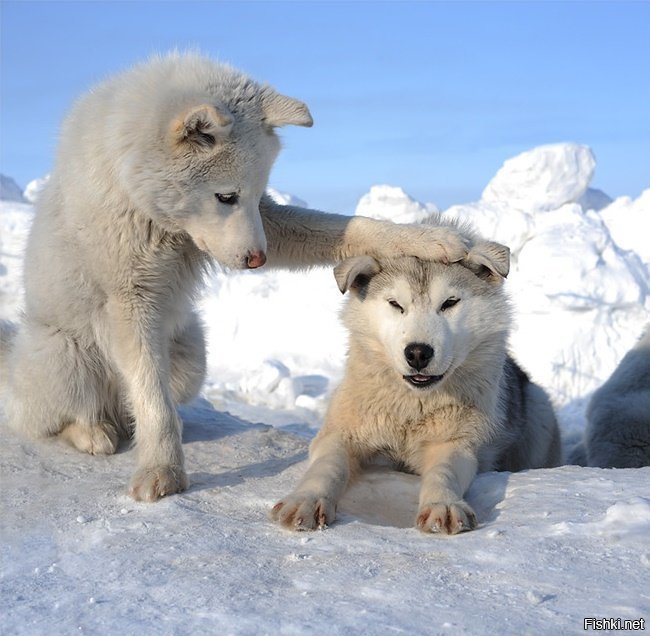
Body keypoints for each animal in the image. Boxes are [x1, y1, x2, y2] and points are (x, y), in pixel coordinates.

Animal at [0, 53, 466, 502]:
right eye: (226, 196)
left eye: (257, 197)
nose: (258, 259)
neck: (144, 202)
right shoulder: (130, 300)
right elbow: (151, 399)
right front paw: (162, 471)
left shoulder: (267, 226)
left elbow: (351, 227)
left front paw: (428, 239)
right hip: (67, 356)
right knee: (54, 418)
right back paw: (92, 432)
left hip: (190, 356)